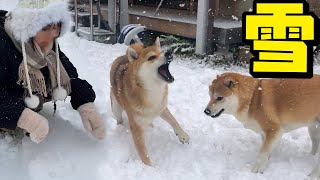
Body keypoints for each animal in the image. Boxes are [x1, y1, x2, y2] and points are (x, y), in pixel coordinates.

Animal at [110, 37, 190, 166]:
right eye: (151, 57)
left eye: (162, 51)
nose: (169, 52)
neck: (152, 90)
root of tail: (123, 56)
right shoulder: (136, 126)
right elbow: (143, 152)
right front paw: (149, 167)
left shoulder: (161, 108)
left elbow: (174, 120)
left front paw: (183, 135)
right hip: (116, 107)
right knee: (119, 120)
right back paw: (120, 129)